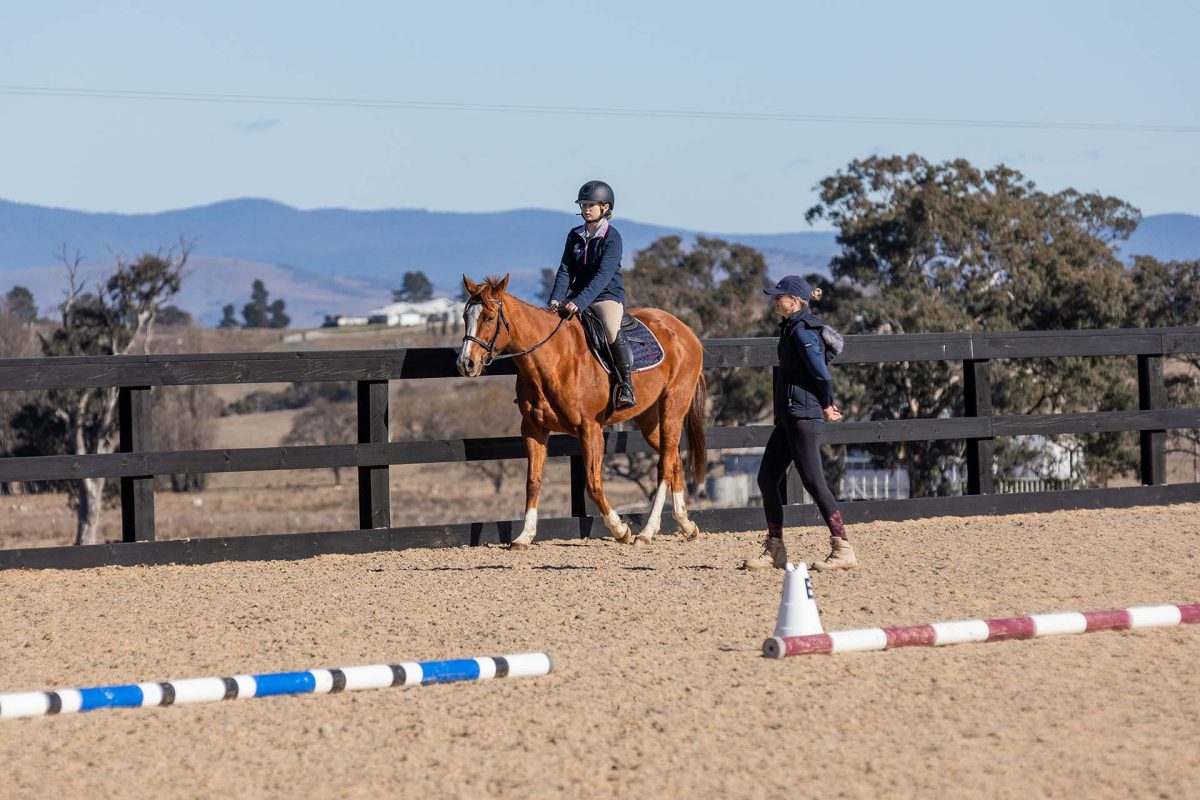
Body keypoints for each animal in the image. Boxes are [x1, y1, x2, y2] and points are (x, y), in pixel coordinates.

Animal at [456, 274, 707, 550]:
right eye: (465, 316)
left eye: (490, 318)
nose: (465, 363)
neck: (553, 358)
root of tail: (685, 331)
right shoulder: (533, 429)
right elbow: (533, 481)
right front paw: (524, 536)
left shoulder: (590, 428)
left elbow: (593, 483)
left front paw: (620, 529)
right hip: (649, 419)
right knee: (673, 458)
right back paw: (686, 525)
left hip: (673, 405)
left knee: (664, 465)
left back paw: (646, 532)